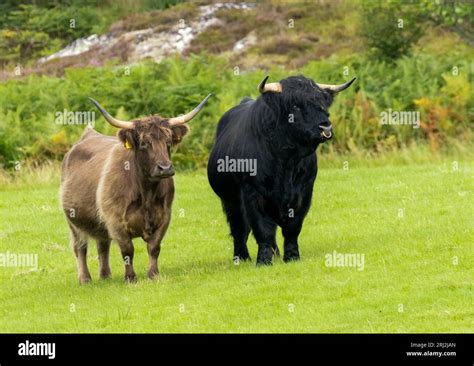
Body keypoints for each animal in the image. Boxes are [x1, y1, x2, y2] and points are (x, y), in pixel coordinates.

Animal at [207, 75, 356, 264]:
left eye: (323, 104)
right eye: (295, 106)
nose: (326, 128)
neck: (287, 161)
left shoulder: (304, 192)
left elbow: (292, 228)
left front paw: (291, 256)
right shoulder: (252, 193)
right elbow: (262, 229)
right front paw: (263, 260)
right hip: (230, 200)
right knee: (239, 227)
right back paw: (241, 256)